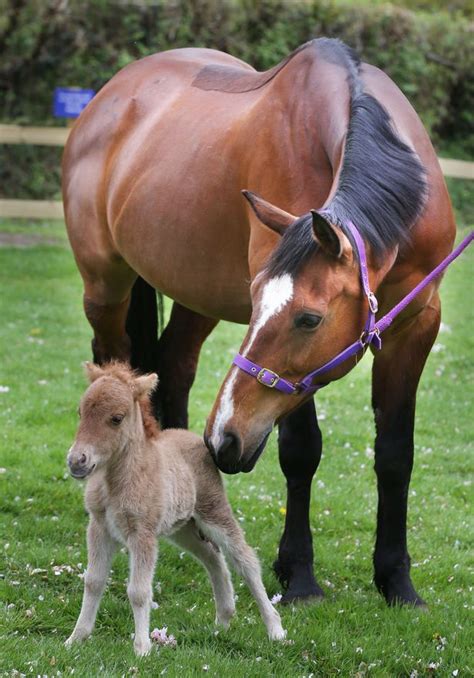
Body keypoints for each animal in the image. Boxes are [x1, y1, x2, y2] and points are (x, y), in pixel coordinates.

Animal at [63, 39, 456, 608]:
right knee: (114, 369)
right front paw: (300, 575)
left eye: (308, 319)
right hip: (105, 286)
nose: (223, 439)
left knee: (173, 368)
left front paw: (397, 582)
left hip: (195, 297)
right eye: (255, 302)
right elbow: (301, 451)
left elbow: (395, 455)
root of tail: (108, 97)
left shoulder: (417, 325)